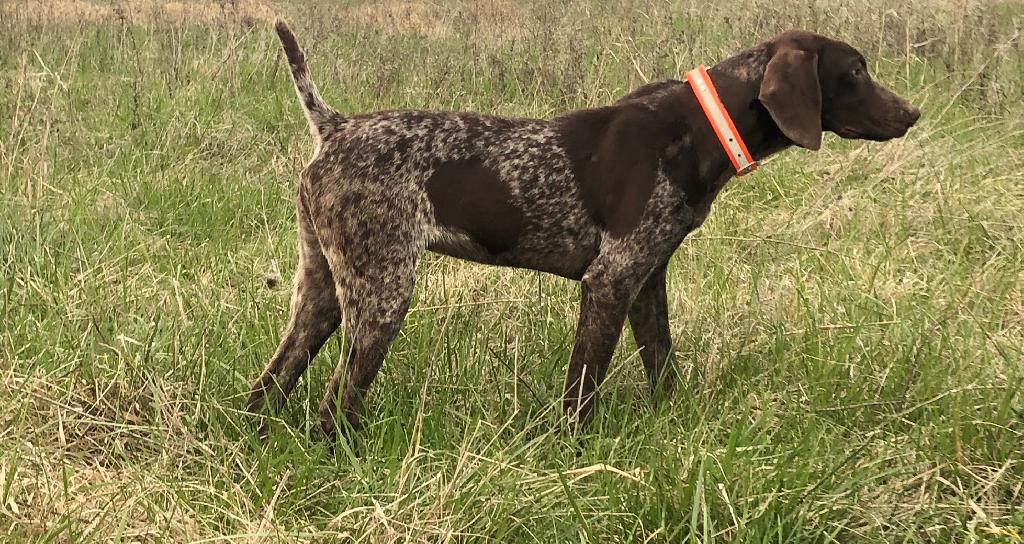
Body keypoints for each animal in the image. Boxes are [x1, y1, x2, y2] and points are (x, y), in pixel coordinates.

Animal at [247, 20, 921, 442]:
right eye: (856, 72)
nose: (913, 113)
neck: (700, 127)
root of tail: (335, 127)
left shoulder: (647, 282)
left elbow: (661, 365)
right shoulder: (610, 281)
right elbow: (583, 388)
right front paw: (574, 452)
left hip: (323, 291)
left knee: (270, 384)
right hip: (382, 293)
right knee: (335, 402)